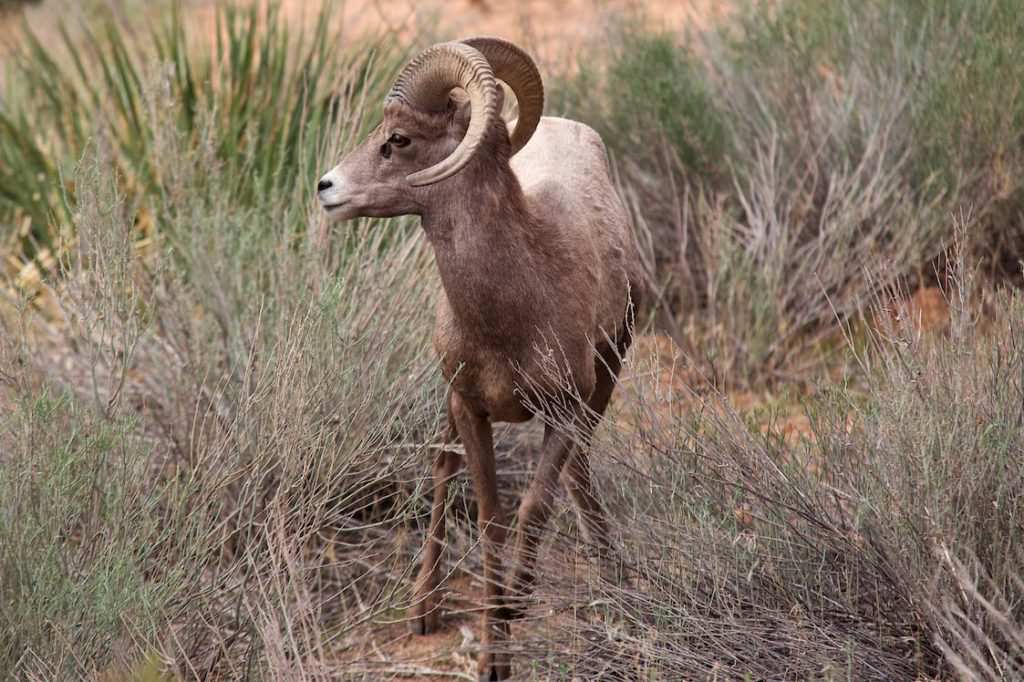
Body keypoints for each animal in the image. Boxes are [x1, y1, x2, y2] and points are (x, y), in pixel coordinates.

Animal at [315, 38, 643, 679]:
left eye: (399, 139)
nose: (326, 187)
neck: (513, 306)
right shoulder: (471, 408)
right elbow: (489, 516)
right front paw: (495, 650)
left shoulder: (564, 409)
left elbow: (533, 507)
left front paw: (515, 604)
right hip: (449, 401)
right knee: (443, 471)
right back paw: (424, 610)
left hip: (605, 377)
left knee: (577, 467)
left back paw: (604, 568)